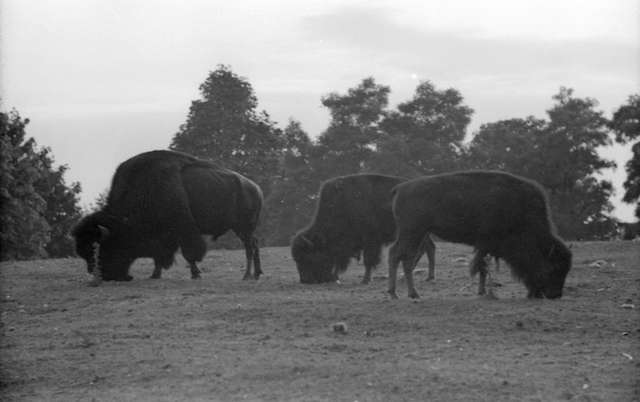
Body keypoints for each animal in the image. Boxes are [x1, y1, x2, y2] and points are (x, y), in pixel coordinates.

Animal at [70, 151, 260, 286]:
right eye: (85, 255)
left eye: (104, 249)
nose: (107, 277)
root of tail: (255, 187)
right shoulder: (165, 236)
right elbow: (159, 256)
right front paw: (155, 275)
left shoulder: (183, 231)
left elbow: (189, 254)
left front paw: (195, 275)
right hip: (242, 228)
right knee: (254, 244)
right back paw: (257, 274)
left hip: (243, 226)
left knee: (249, 247)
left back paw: (246, 276)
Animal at [292, 174, 436, 284]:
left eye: (308, 257)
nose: (305, 281)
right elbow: (340, 261)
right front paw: (336, 277)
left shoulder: (371, 241)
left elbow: (368, 260)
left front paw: (365, 280)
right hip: (419, 233)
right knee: (428, 248)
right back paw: (423, 276)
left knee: (425, 249)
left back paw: (426, 277)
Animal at [388, 171, 572, 300]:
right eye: (551, 267)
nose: (555, 294)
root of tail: (401, 188)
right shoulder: (487, 243)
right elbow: (481, 266)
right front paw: (483, 292)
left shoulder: (486, 246)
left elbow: (482, 266)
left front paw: (482, 291)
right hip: (413, 231)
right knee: (400, 255)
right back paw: (408, 294)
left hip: (417, 233)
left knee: (401, 255)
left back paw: (398, 293)